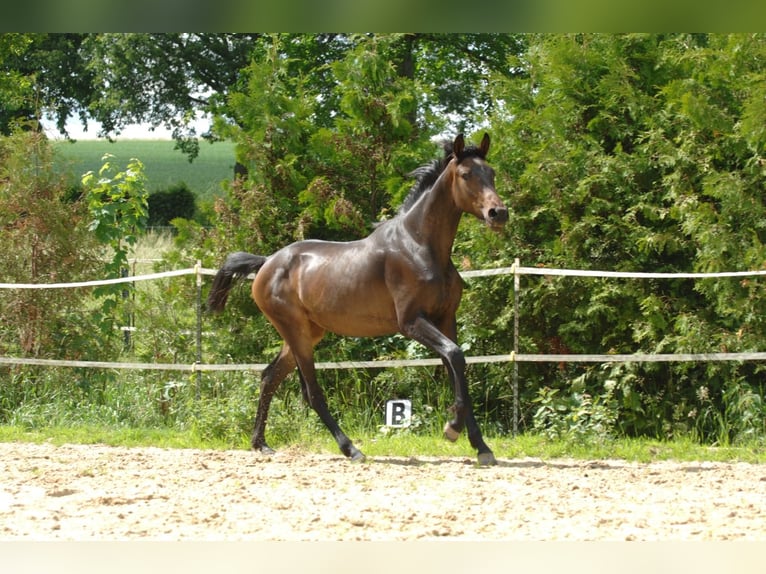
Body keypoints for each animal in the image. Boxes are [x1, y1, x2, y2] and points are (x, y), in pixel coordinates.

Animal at [208, 135, 510, 468]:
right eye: (466, 175)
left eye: (492, 172)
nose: (498, 213)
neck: (419, 246)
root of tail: (266, 263)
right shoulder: (411, 322)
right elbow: (456, 357)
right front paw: (452, 429)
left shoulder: (445, 319)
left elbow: (457, 367)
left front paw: (481, 446)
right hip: (296, 333)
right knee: (311, 393)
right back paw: (350, 449)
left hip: (305, 333)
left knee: (269, 377)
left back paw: (260, 444)